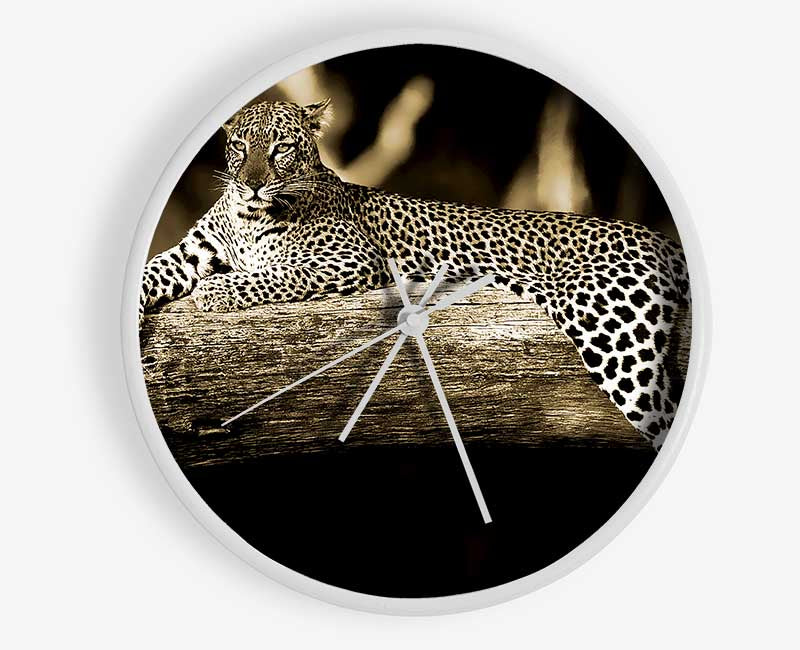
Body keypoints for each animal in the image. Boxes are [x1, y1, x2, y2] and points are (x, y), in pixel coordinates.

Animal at [140, 99, 691, 450]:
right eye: (241, 147)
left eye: (281, 149)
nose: (252, 184)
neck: (249, 218)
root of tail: (659, 238)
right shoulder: (191, 251)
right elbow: (150, 271)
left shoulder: (349, 259)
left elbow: (273, 275)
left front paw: (216, 291)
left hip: (612, 332)